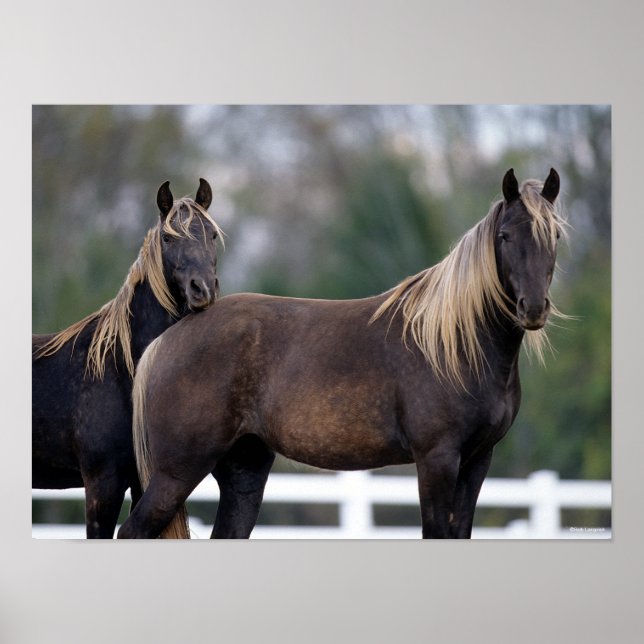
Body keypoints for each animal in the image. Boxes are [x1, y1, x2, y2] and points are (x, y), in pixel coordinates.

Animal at [33, 179, 223, 538]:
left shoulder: (140, 481)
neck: (119, 370)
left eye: (212, 235)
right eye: (167, 238)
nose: (202, 289)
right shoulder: (102, 485)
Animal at [118, 168, 566, 539]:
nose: (533, 308)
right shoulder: (437, 459)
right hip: (176, 473)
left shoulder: (477, 461)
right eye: (505, 236)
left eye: (555, 237)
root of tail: (167, 340)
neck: (454, 343)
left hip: (242, 471)